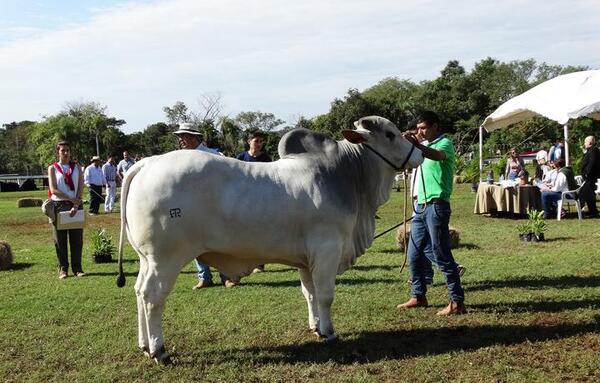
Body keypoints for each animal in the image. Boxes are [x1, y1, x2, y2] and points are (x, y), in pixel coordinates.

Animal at [115, 115, 420, 364]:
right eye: (390, 134)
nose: (418, 153)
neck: (348, 174)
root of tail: (147, 163)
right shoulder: (327, 250)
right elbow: (325, 295)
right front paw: (330, 332)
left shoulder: (306, 260)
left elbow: (309, 293)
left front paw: (316, 328)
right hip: (165, 259)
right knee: (152, 297)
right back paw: (159, 351)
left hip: (147, 260)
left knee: (139, 292)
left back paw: (144, 345)